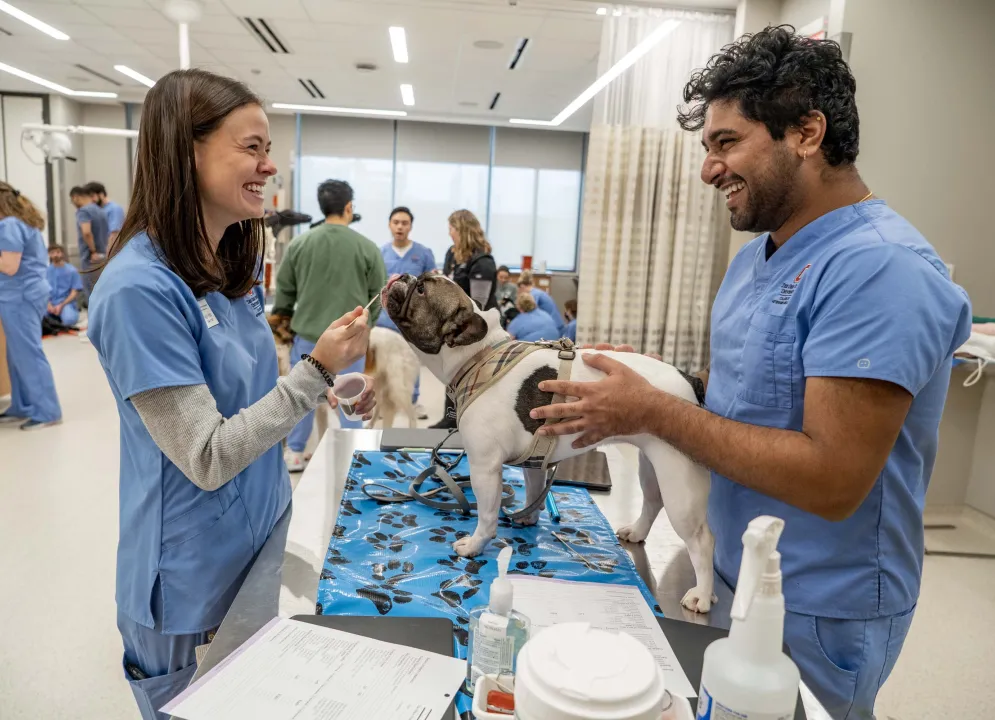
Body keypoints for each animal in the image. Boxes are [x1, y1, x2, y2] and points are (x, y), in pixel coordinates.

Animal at [382, 272, 716, 612]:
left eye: (421, 289)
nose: (403, 276)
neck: (478, 355)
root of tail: (689, 381)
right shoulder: (533, 457)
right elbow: (534, 489)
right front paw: (529, 516)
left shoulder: (484, 467)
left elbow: (487, 514)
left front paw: (475, 544)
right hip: (652, 464)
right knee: (652, 500)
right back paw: (636, 532)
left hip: (680, 482)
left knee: (702, 540)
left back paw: (701, 594)